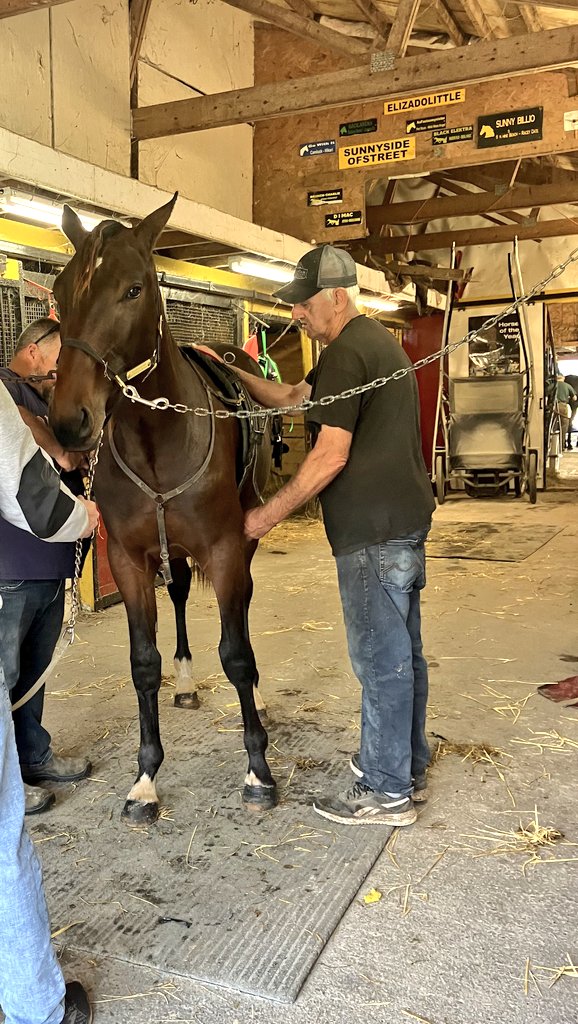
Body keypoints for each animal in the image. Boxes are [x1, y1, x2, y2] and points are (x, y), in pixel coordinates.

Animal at [49, 194, 277, 825]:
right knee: (176, 594)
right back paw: (186, 681)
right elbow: (143, 663)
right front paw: (145, 778)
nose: (68, 420)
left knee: (243, 611)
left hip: (245, 541)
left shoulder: (224, 548)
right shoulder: (129, 560)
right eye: (58, 290)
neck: (158, 437)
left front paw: (257, 769)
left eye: (133, 288)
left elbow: (237, 653)